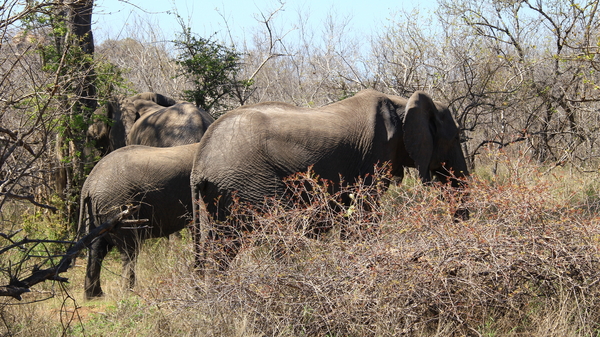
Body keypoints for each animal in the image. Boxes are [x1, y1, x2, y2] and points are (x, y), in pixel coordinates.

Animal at [76, 143, 199, 298]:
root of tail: (88, 184)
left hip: (95, 211)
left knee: (96, 250)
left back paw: (95, 296)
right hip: (117, 205)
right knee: (129, 250)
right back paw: (128, 292)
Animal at [191, 88, 468, 270]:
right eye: (455, 138)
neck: (402, 101)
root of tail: (199, 164)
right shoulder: (375, 153)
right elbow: (365, 212)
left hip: (224, 192)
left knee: (221, 245)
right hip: (249, 182)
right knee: (282, 229)